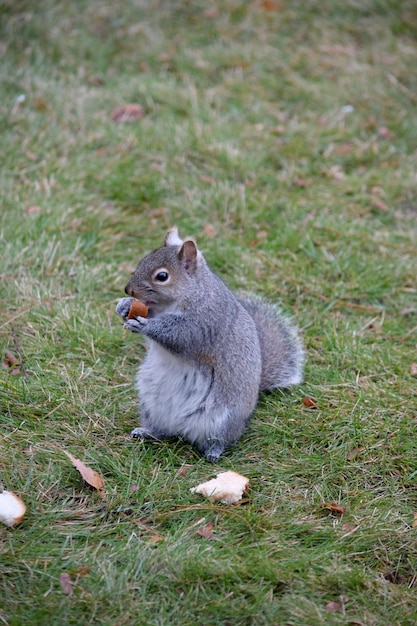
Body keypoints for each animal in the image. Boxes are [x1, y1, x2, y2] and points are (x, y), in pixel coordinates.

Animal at [115, 227, 304, 460]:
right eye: (142, 260)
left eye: (162, 276)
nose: (128, 290)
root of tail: (181, 428)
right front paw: (124, 306)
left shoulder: (205, 322)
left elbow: (179, 335)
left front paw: (145, 325)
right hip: (151, 406)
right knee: (162, 431)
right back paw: (146, 432)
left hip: (221, 419)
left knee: (219, 439)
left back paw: (213, 452)